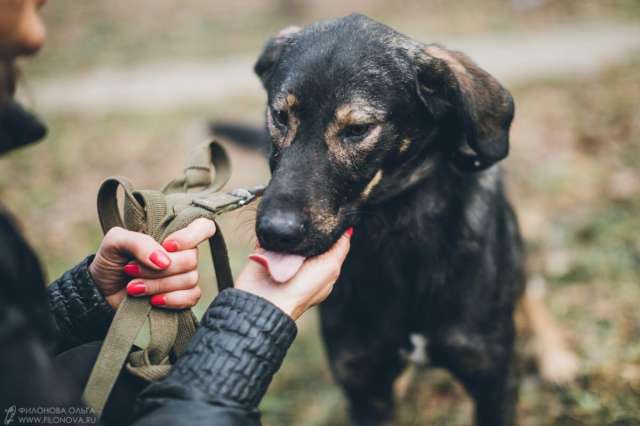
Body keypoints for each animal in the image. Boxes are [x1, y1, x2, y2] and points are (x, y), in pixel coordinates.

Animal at [218, 14, 576, 426]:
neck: (395, 230)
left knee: (529, 286)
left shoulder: (492, 380)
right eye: (280, 116)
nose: (276, 232)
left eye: (357, 130)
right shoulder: (364, 385)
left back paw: (555, 355)